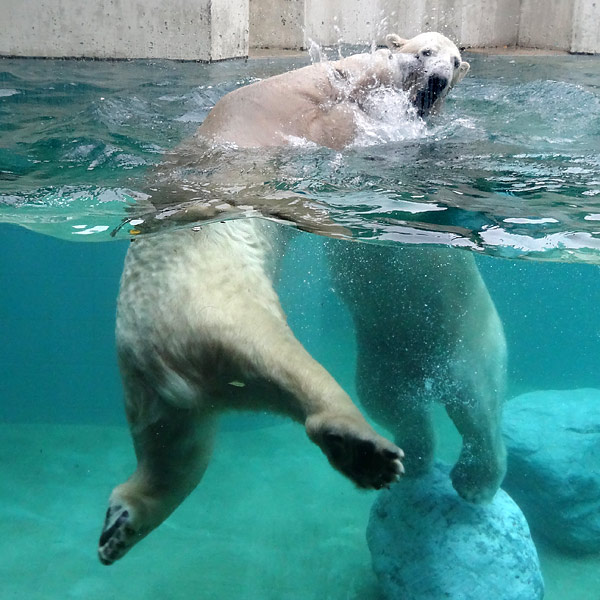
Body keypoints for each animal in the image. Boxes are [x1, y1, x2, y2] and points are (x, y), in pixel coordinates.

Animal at [99, 31, 506, 568]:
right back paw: (371, 453)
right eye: (425, 54)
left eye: (457, 62)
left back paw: (121, 522)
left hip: (162, 376)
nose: (439, 80)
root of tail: (167, 362)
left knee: (175, 453)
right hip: (218, 316)